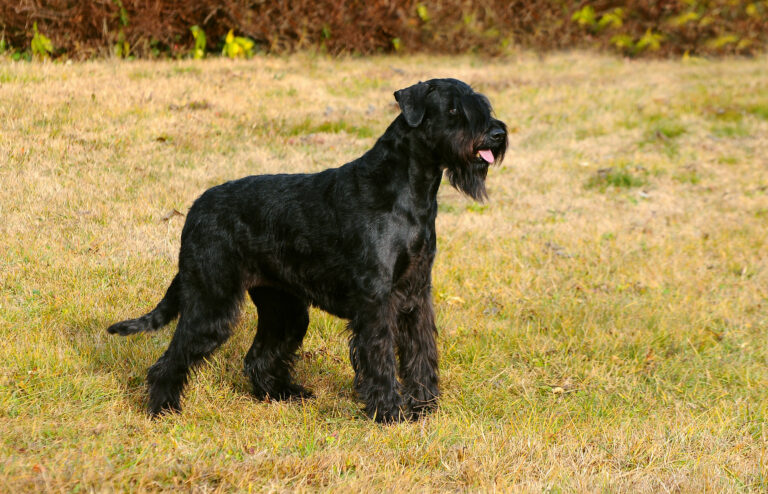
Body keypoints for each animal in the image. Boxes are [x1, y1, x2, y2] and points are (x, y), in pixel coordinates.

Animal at [106, 79, 504, 422]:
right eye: (453, 109)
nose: (498, 133)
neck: (409, 189)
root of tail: (194, 211)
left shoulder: (416, 293)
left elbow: (421, 352)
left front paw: (425, 407)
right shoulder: (377, 299)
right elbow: (380, 357)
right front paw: (390, 413)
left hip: (283, 307)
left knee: (258, 357)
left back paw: (283, 395)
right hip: (211, 301)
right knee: (171, 358)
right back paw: (163, 409)